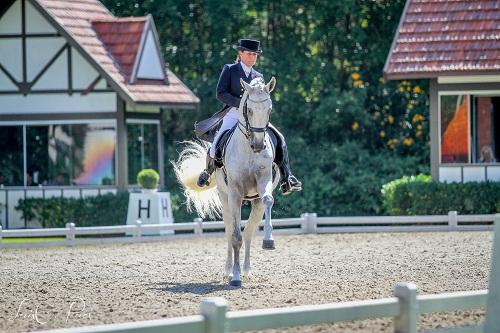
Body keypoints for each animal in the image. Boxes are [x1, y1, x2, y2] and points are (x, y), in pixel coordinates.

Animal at [174, 76, 280, 286]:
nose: (258, 145)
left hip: (254, 202)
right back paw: (229, 271)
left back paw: (247, 270)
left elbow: (268, 200)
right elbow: (235, 237)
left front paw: (269, 240)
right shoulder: (234, 195)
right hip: (225, 199)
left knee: (248, 231)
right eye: (249, 110)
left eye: (269, 110)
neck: (248, 149)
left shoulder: (263, 183)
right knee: (230, 231)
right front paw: (235, 277)